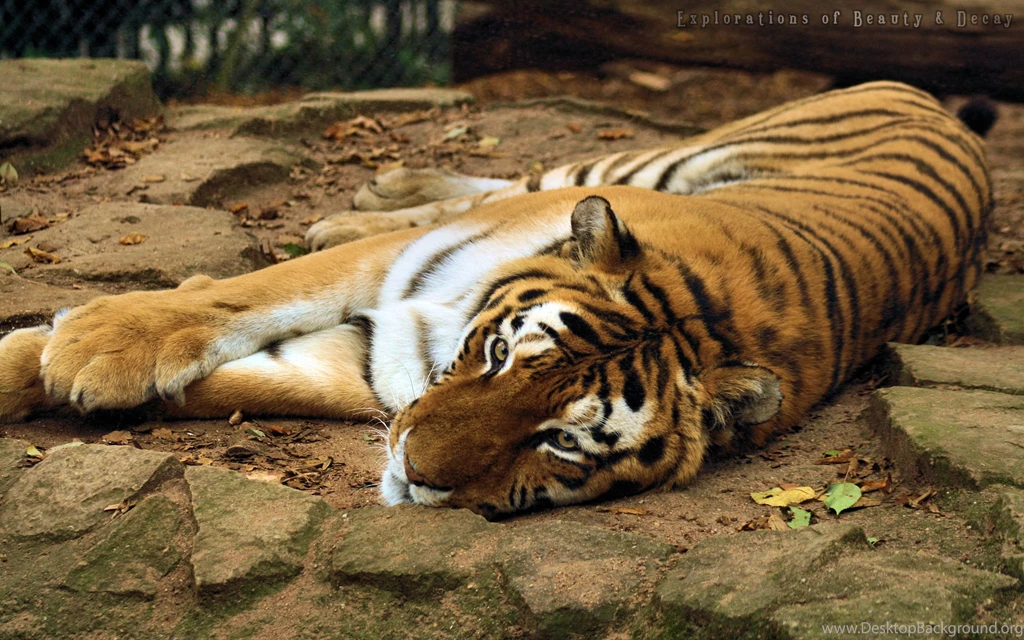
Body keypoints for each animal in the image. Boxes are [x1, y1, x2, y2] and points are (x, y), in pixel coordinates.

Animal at [0, 81, 994, 517]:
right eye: (500, 353)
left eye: (561, 441)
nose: (414, 473)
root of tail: (929, 98)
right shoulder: (394, 278)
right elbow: (252, 292)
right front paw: (92, 342)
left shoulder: (375, 363)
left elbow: (255, 377)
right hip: (624, 163)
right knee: (512, 175)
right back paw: (363, 197)